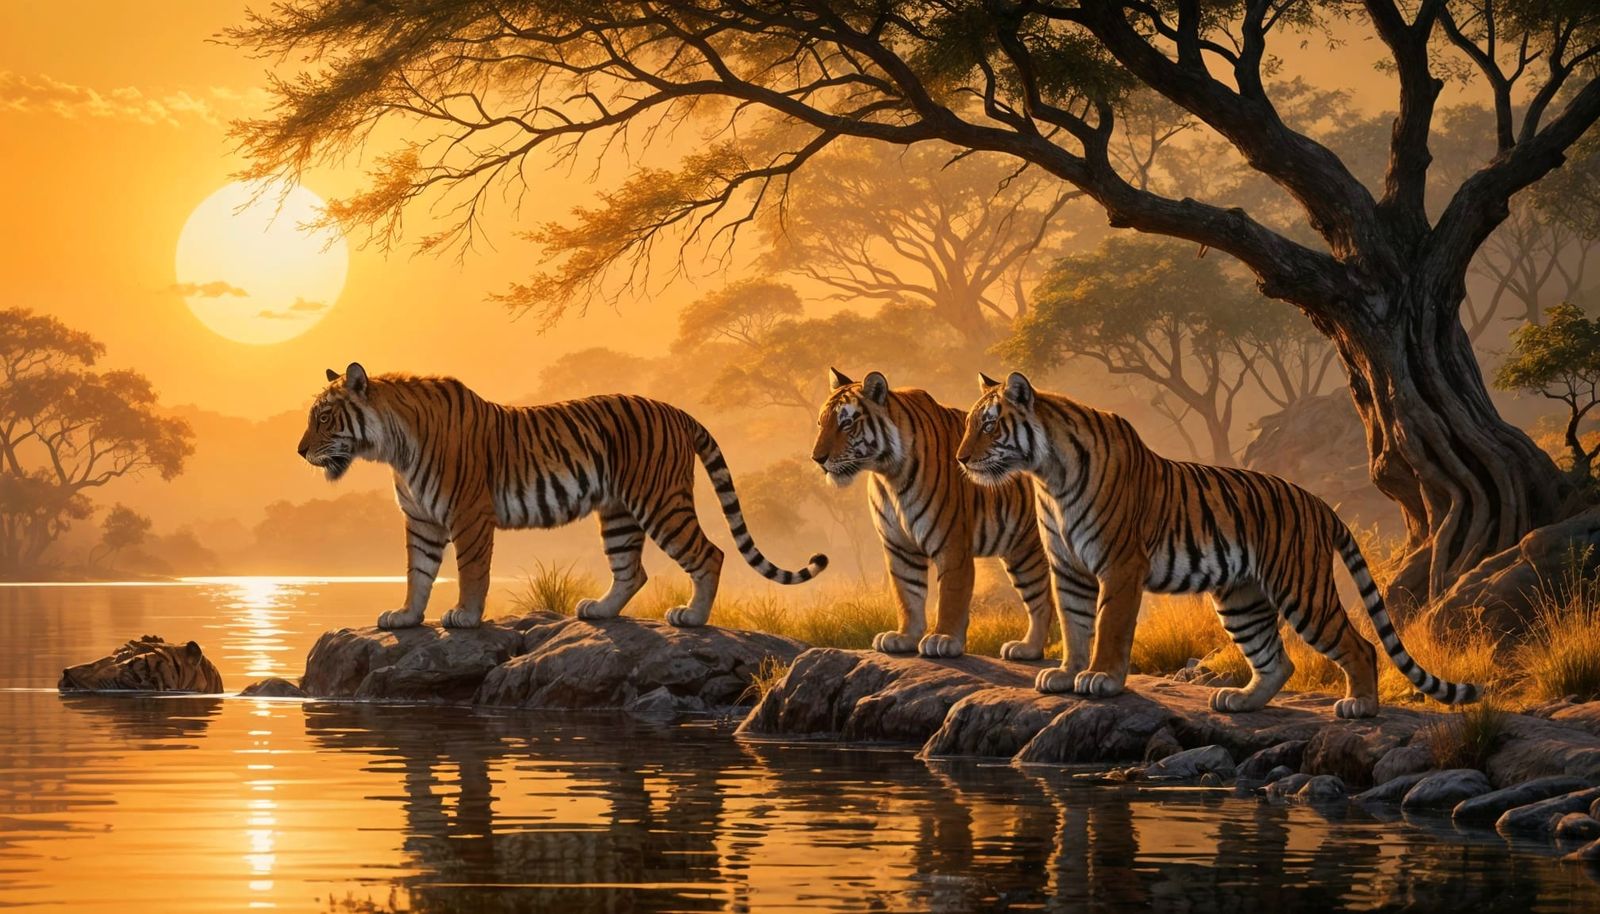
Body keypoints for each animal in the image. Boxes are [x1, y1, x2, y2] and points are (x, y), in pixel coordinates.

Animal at [297, 363, 828, 630]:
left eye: (323, 418)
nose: (300, 451)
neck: (392, 448)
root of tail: (678, 410)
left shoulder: (469, 514)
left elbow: (471, 572)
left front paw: (465, 617)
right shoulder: (422, 521)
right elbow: (418, 573)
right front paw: (405, 617)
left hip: (660, 502)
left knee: (710, 554)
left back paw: (693, 618)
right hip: (618, 513)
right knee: (631, 570)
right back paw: (600, 610)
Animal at [811, 368, 1055, 660]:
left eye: (846, 424)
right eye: (821, 424)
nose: (817, 458)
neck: (889, 474)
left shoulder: (952, 543)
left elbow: (951, 594)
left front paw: (943, 639)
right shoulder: (899, 546)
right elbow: (907, 593)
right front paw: (904, 637)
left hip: (1032, 547)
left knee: (1044, 599)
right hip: (1019, 550)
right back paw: (1027, 648)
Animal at [954, 371, 1481, 718]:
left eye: (989, 425)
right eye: (969, 425)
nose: (960, 459)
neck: (1047, 475)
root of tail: (1317, 502)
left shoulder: (1120, 564)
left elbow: (1109, 627)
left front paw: (1100, 679)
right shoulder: (1069, 567)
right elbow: (1076, 624)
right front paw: (1064, 674)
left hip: (1301, 590)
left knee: (1360, 645)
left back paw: (1360, 706)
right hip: (1242, 598)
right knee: (1277, 661)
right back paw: (1241, 701)